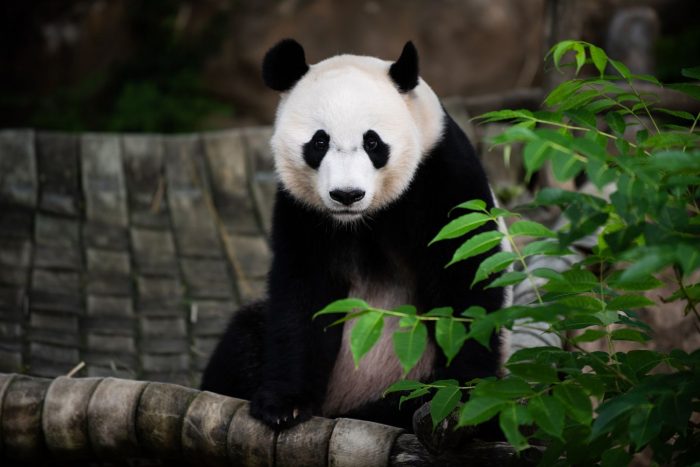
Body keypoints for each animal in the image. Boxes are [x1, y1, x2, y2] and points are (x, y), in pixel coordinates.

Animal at [200, 38, 506, 434]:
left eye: (373, 143)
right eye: (319, 143)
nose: (347, 194)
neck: (363, 219)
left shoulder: (442, 175)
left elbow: (465, 278)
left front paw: (461, 395)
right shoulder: (303, 210)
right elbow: (302, 296)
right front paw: (284, 405)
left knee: (406, 398)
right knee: (243, 339)